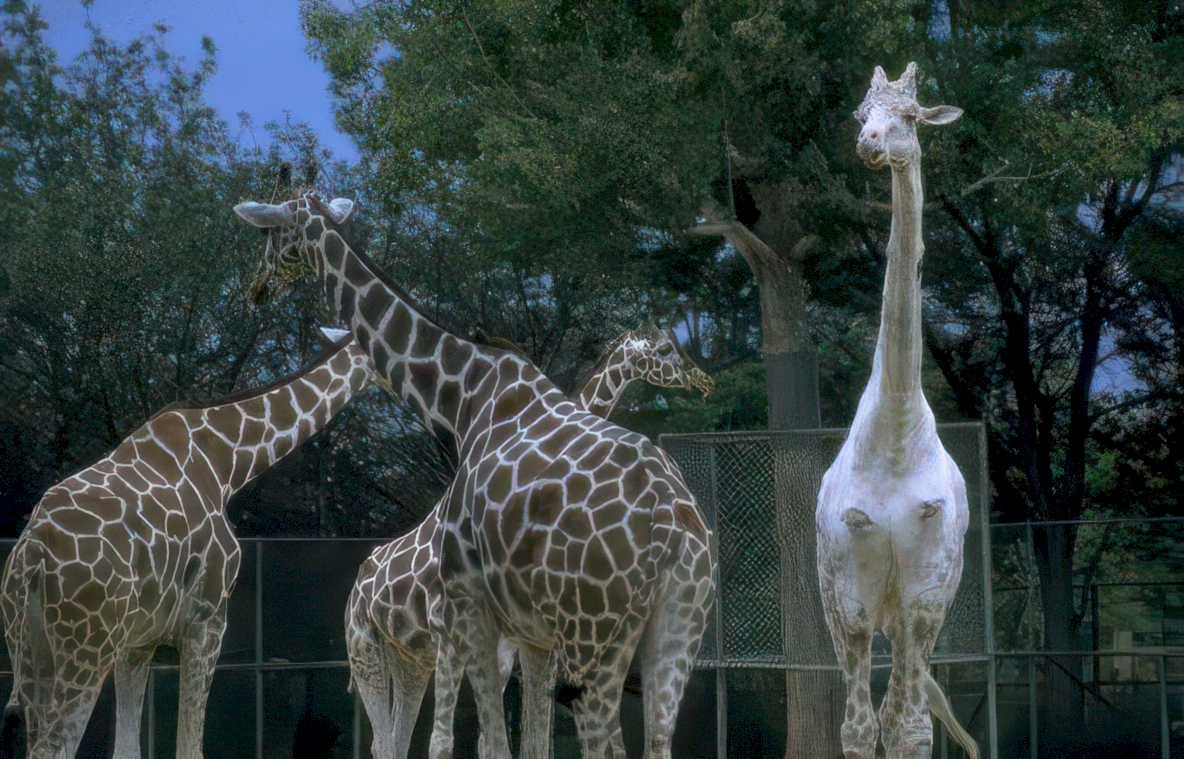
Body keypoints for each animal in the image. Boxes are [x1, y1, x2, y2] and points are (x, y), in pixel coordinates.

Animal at [0, 328, 380, 759]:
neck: (230, 461)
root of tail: (31, 552)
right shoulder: (207, 618)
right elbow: (189, 744)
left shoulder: (138, 641)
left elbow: (128, 747)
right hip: (87, 646)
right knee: (55, 744)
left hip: (31, 648)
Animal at [344, 325, 714, 758]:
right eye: (665, 349)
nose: (702, 380)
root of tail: (357, 585)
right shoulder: (455, 632)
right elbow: (456, 741)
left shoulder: (523, 648)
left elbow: (525, 738)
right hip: (365, 650)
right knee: (387, 738)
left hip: (408, 659)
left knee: (392, 739)